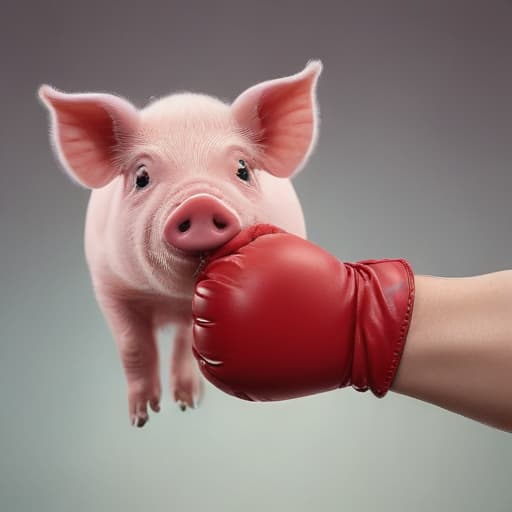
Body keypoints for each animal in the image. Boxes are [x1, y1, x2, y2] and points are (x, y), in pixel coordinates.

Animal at [39, 61, 320, 428]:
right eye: (142, 177)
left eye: (243, 169)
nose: (200, 203)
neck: (169, 300)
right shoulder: (109, 285)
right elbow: (133, 346)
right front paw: (142, 418)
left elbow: (188, 341)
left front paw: (184, 405)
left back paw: (187, 404)